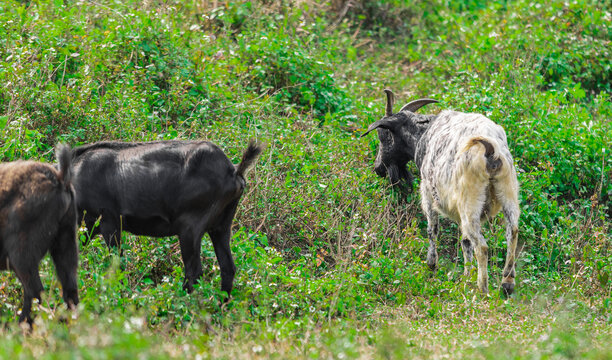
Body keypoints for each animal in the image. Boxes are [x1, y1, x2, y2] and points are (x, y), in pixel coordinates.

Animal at [70, 141, 262, 296]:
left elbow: (117, 264)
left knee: (194, 272)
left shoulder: (109, 221)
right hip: (221, 226)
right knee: (228, 268)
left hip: (190, 228)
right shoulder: (89, 225)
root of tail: (234, 171)